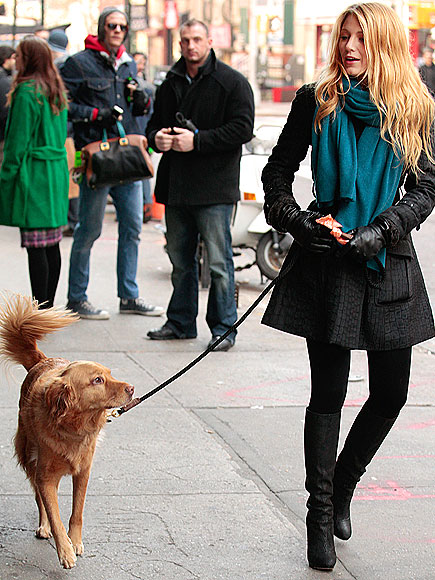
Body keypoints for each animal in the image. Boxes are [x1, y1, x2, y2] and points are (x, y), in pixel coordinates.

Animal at [0, 296, 135, 568]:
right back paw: (43, 526)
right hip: (28, 457)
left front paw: (76, 541)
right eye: (97, 380)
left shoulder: (83, 471)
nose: (132, 388)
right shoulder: (45, 476)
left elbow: (77, 512)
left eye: (110, 374)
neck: (73, 427)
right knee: (38, 498)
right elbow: (54, 514)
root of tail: (42, 361)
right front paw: (65, 550)